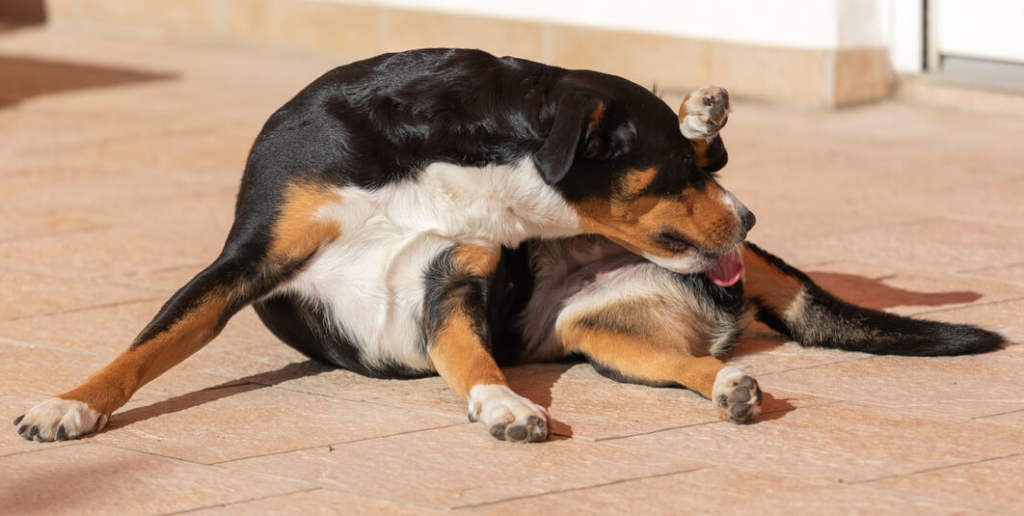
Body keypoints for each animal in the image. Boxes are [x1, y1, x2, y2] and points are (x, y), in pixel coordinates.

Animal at [12, 49, 1003, 444]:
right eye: (670, 173)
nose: (749, 221)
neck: (443, 154)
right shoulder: (245, 262)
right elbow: (142, 350)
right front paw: (70, 407)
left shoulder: (451, 285)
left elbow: (468, 359)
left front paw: (500, 407)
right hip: (610, 335)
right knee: (688, 363)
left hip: (612, 333)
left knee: (696, 365)